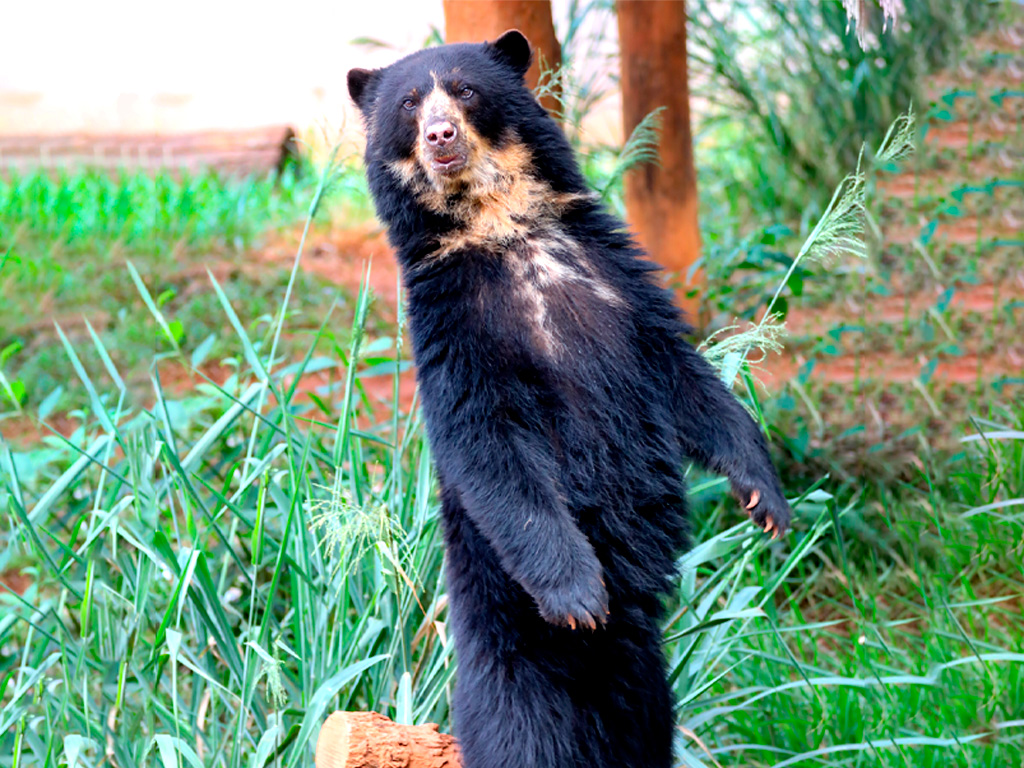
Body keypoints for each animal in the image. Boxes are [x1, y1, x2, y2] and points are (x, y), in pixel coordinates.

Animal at [347, 30, 791, 768]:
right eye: (409, 104)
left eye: (465, 90)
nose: (440, 135)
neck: (501, 225)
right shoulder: (453, 329)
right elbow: (489, 448)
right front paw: (580, 595)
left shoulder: (622, 283)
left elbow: (687, 379)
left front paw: (766, 502)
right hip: (519, 661)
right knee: (524, 736)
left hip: (649, 682)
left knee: (648, 727)